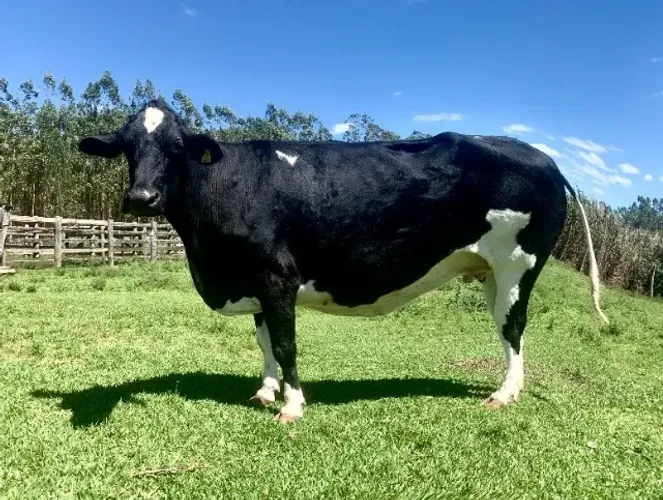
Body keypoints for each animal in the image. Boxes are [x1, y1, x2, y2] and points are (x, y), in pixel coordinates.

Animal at [78, 99, 608, 423]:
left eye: (176, 149)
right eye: (127, 148)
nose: (141, 198)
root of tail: (543, 156)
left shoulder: (276, 276)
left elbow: (286, 344)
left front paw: (292, 405)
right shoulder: (254, 282)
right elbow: (264, 341)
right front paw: (265, 391)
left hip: (520, 263)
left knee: (512, 327)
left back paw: (504, 394)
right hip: (492, 270)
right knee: (505, 327)